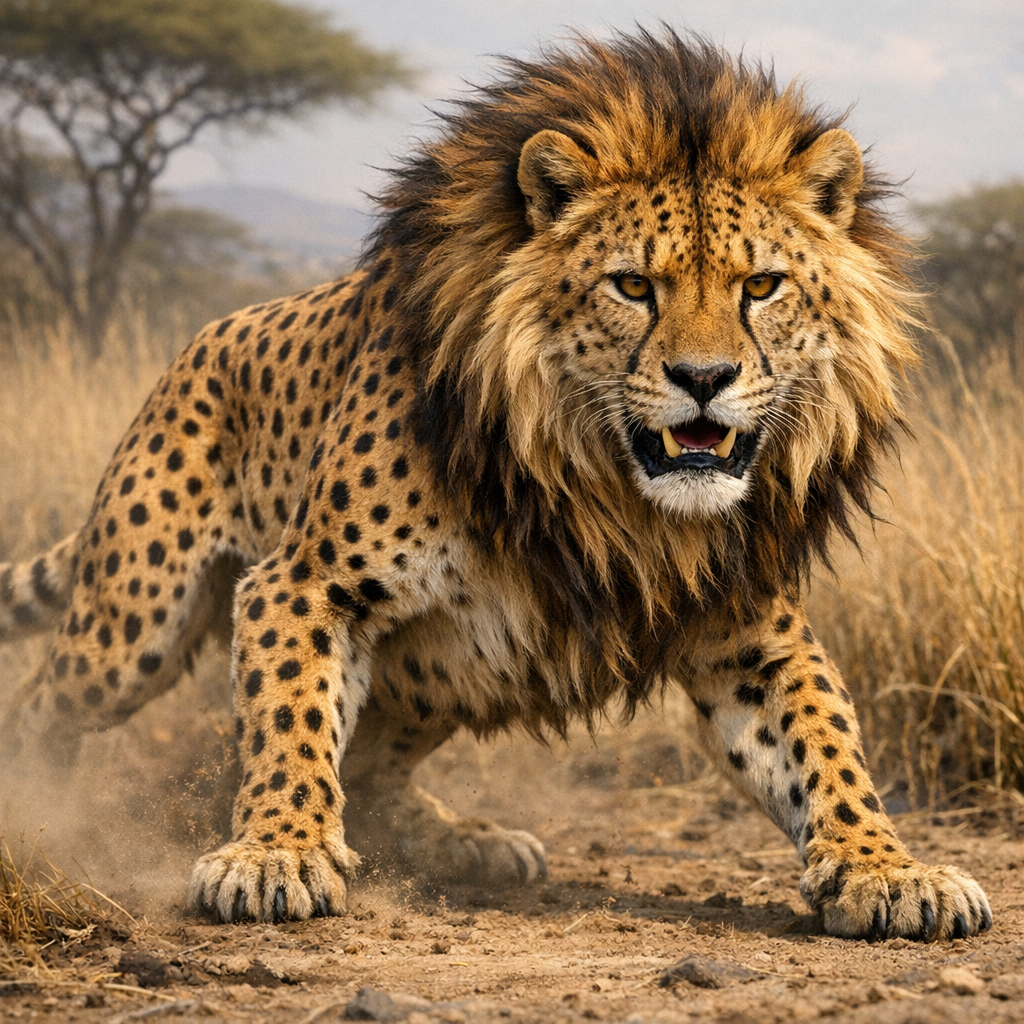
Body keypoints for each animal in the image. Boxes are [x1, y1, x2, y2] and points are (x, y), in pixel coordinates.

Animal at [0, 29, 991, 940]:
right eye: (633, 286)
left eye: (762, 285)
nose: (703, 378)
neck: (616, 494)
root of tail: (198, 343)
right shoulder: (300, 583)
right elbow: (290, 721)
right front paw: (276, 851)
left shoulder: (748, 628)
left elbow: (828, 746)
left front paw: (888, 868)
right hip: (132, 626)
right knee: (46, 707)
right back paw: (37, 811)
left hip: (438, 674)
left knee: (374, 769)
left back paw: (470, 841)